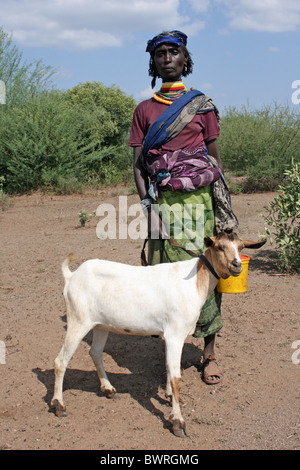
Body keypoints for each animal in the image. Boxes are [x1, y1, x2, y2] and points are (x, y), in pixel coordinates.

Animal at [51, 231, 264, 436]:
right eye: (219, 247)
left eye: (241, 247)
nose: (237, 265)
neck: (195, 280)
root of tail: (72, 276)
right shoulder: (175, 334)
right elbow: (176, 378)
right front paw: (178, 422)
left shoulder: (169, 336)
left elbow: (169, 368)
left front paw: (169, 397)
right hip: (78, 320)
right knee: (60, 361)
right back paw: (59, 405)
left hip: (101, 325)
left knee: (95, 353)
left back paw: (108, 389)